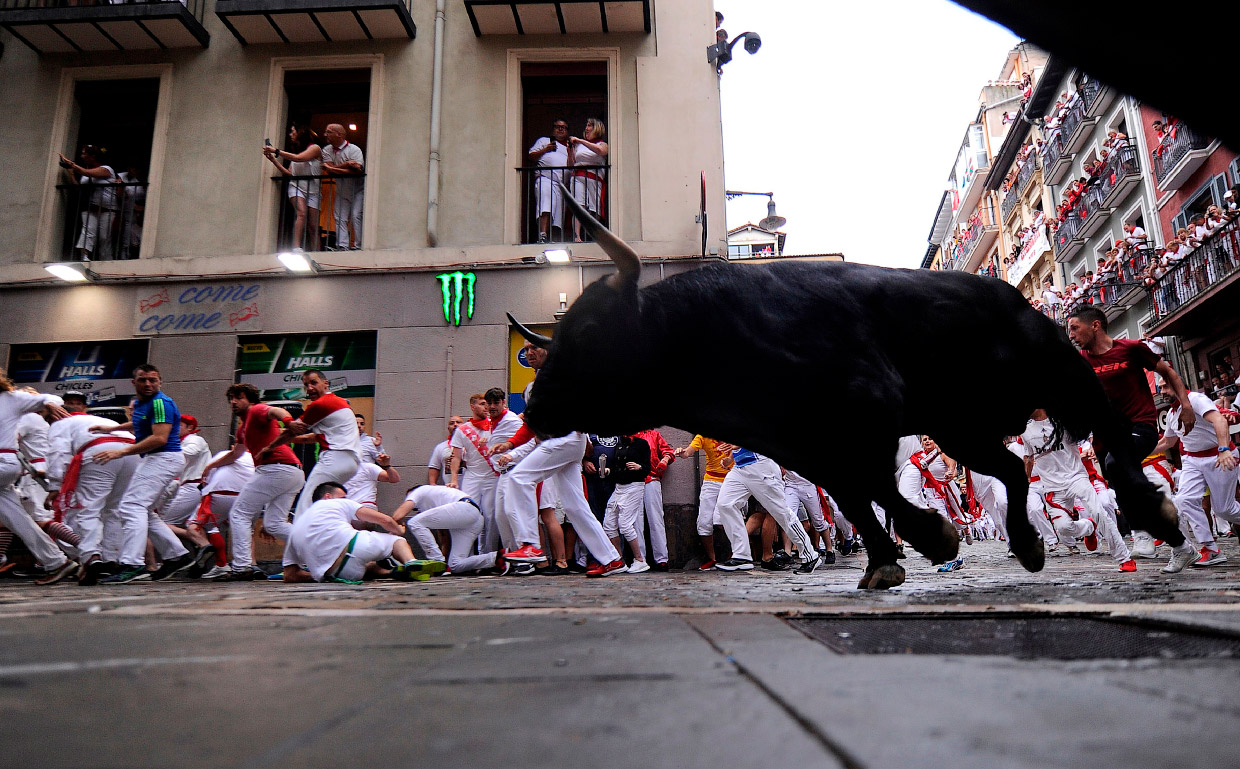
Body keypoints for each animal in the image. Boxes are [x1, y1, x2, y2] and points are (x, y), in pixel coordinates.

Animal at [510, 187, 1180, 587]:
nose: (535, 407)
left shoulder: (868, 411)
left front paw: (928, 538)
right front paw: (886, 561)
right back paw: (1027, 542)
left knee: (1111, 442)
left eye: (589, 331)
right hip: (959, 428)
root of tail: (1011, 297)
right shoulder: (804, 444)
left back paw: (1158, 515)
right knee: (1014, 471)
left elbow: (875, 488)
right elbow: (855, 497)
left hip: (1064, 373)